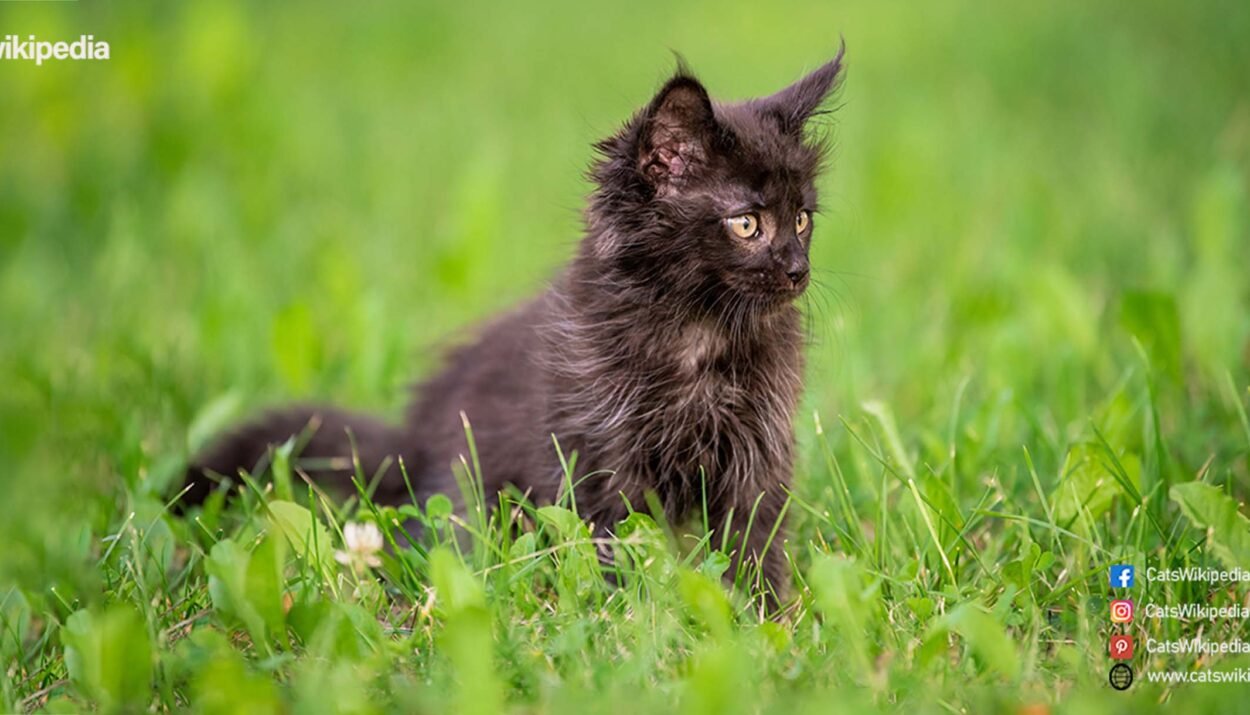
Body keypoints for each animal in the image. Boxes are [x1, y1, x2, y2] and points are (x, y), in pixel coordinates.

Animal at [185, 50, 845, 605]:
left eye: (803, 218)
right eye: (747, 223)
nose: (798, 269)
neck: (698, 330)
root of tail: (411, 443)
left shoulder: (759, 446)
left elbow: (755, 538)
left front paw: (765, 616)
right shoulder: (597, 449)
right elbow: (613, 540)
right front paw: (625, 614)